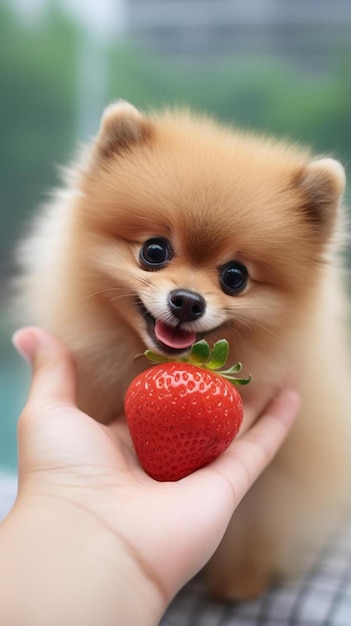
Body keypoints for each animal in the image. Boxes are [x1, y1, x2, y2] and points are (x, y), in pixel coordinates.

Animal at [13, 100, 350, 596]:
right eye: (154, 251)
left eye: (235, 277)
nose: (188, 301)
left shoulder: (277, 488)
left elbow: (254, 524)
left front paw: (240, 583)